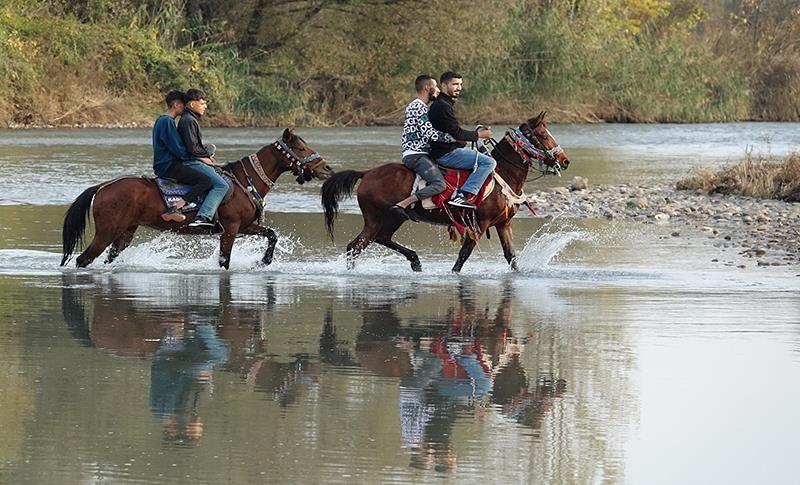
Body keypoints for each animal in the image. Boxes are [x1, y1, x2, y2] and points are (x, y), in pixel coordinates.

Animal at [61, 129, 332, 268]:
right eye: (301, 148)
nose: (327, 168)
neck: (244, 181)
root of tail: (103, 187)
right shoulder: (231, 228)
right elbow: (224, 261)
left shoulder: (246, 226)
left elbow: (272, 235)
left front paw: (264, 261)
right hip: (106, 231)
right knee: (83, 259)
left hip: (125, 232)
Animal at [322, 112, 572, 272]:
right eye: (543, 135)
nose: (564, 160)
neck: (504, 174)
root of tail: (366, 173)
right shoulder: (479, 224)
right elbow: (463, 257)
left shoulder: (503, 223)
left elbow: (511, 257)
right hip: (377, 217)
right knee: (358, 245)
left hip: (390, 219)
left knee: (369, 242)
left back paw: (414, 261)